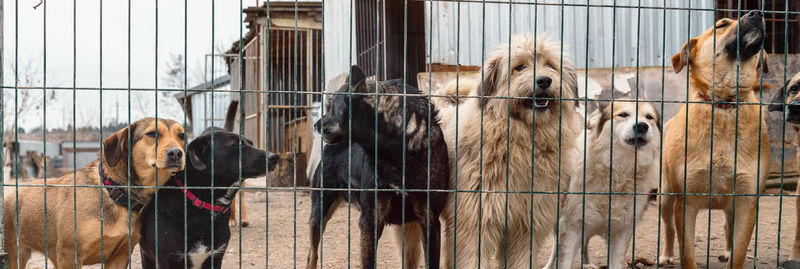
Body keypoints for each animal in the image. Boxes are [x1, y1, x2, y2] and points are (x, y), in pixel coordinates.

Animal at [2, 117, 186, 268]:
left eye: (182, 136)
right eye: (152, 134)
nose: (176, 153)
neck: (114, 191)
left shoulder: (120, 256)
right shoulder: (69, 255)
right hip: (14, 256)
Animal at [304, 65, 446, 268]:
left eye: (332, 107)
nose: (316, 125)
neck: (396, 154)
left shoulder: (430, 219)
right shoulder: (370, 219)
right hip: (320, 211)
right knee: (312, 254)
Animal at [660, 9, 772, 268]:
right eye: (721, 25)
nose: (757, 13)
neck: (725, 103)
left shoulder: (746, 201)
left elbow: (739, 252)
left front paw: (732, 255)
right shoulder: (685, 202)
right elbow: (687, 253)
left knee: (727, 226)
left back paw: (726, 251)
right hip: (665, 197)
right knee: (668, 229)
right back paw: (666, 255)